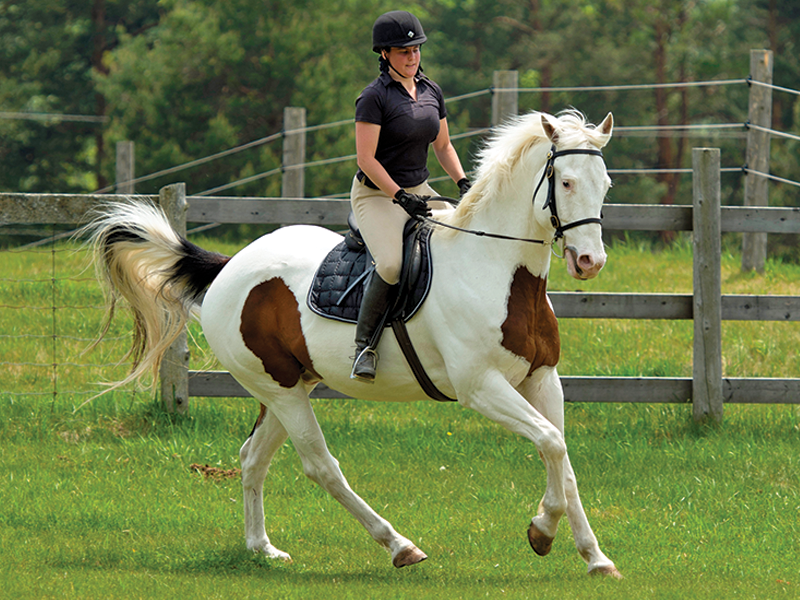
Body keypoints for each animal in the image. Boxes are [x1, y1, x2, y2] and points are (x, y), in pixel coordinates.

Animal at [83, 109, 621, 578]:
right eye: (565, 182)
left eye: (605, 184)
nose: (589, 262)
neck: (495, 268)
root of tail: (229, 266)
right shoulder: (481, 387)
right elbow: (551, 443)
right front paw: (543, 531)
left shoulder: (542, 380)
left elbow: (562, 458)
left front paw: (593, 557)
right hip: (282, 391)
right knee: (321, 465)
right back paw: (399, 545)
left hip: (290, 385)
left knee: (253, 456)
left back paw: (262, 549)